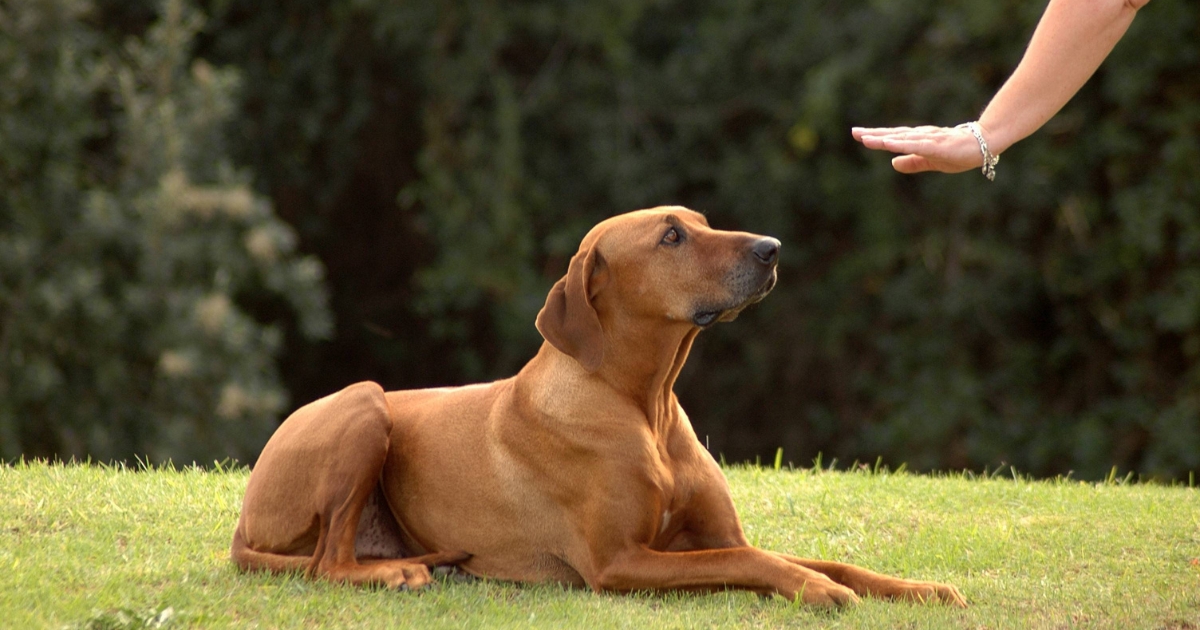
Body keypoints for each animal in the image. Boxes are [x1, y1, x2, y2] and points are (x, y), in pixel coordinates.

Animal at [231, 205, 964, 604]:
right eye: (671, 237)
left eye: (702, 223)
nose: (772, 248)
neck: (644, 405)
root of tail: (242, 521)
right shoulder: (619, 562)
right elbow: (752, 563)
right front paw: (820, 593)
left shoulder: (717, 534)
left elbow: (816, 558)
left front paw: (919, 589)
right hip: (365, 403)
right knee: (326, 563)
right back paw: (397, 575)